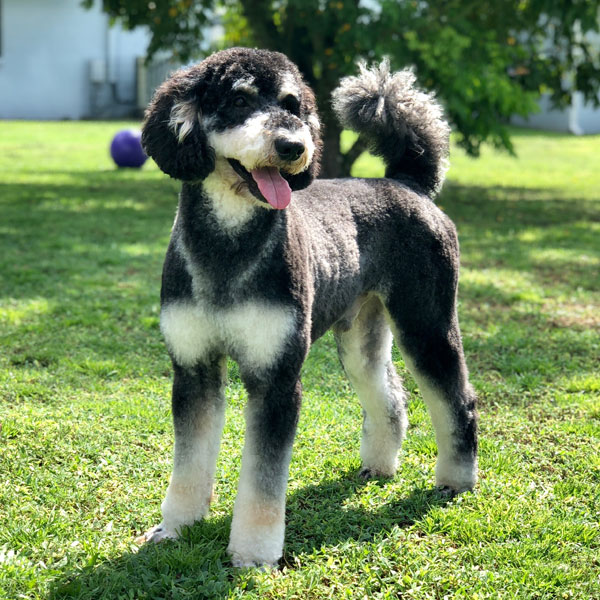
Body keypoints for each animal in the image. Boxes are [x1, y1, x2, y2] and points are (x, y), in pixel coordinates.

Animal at [139, 48, 478, 568]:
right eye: (239, 100)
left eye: (292, 104)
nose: (293, 146)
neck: (228, 249)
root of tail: (409, 184)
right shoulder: (194, 370)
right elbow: (189, 461)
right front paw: (177, 527)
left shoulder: (276, 379)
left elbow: (264, 477)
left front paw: (254, 554)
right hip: (361, 336)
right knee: (389, 398)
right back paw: (379, 466)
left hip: (428, 324)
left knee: (458, 401)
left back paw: (456, 480)